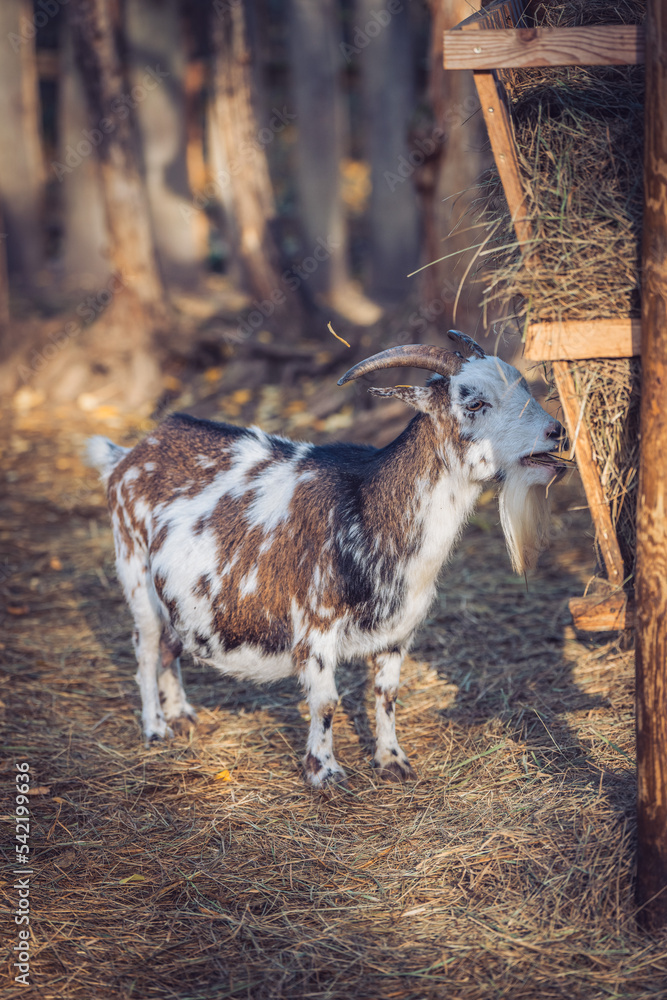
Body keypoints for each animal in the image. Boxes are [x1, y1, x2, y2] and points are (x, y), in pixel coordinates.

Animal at [86, 332, 567, 788]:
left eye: (525, 385)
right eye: (474, 402)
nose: (556, 432)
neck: (366, 509)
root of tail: (130, 454)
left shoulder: (398, 632)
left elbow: (386, 694)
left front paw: (392, 761)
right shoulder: (315, 627)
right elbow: (326, 701)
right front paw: (324, 772)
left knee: (171, 644)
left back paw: (182, 714)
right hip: (134, 569)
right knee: (146, 646)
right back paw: (156, 728)